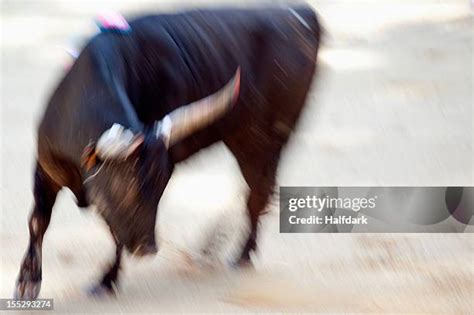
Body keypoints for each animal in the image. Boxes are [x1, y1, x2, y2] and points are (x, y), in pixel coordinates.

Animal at [14, 6, 320, 300]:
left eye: (161, 184)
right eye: (122, 185)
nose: (147, 248)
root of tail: (302, 14)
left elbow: (115, 234)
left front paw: (106, 281)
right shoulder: (45, 169)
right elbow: (39, 221)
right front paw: (27, 282)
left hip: (259, 141)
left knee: (257, 195)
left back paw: (238, 255)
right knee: (259, 193)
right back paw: (213, 248)